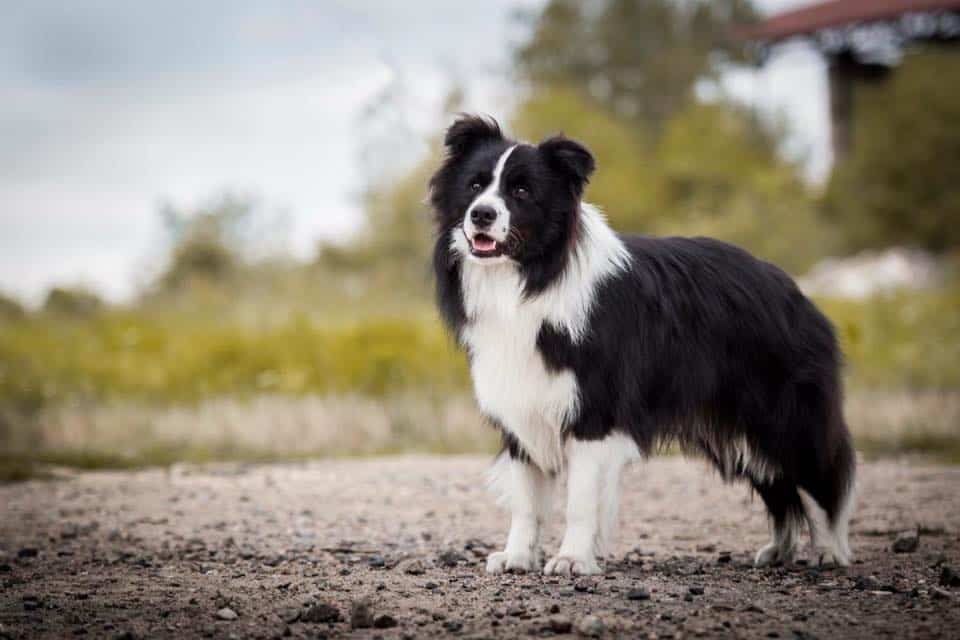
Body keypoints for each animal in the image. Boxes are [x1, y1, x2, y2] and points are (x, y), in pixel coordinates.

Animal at [428, 115, 856, 576]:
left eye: (522, 192)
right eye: (474, 185)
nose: (481, 214)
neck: (530, 277)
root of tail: (796, 291)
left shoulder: (594, 412)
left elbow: (580, 500)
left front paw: (572, 559)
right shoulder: (522, 404)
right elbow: (526, 498)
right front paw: (517, 556)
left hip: (782, 414)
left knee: (820, 476)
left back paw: (830, 550)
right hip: (742, 426)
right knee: (777, 484)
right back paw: (780, 550)